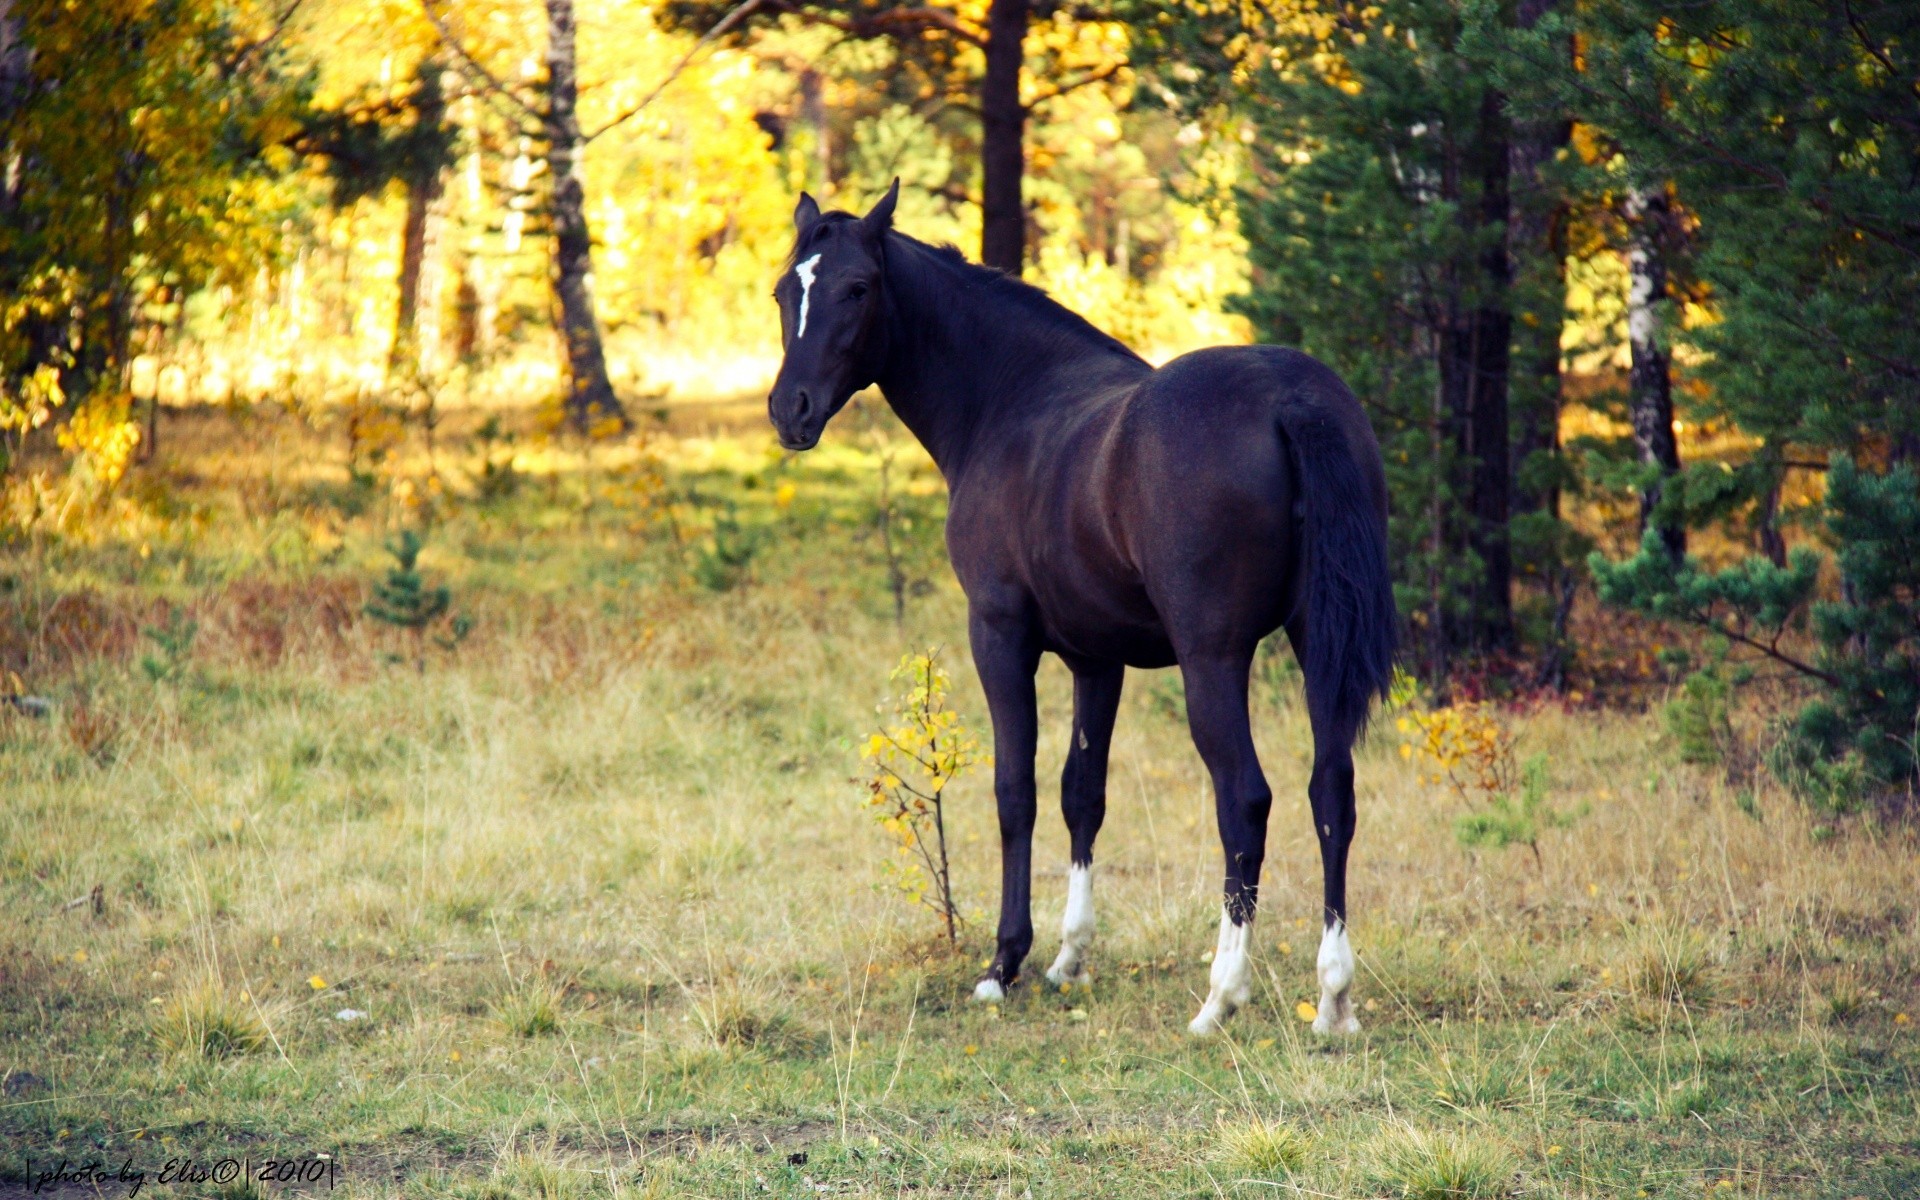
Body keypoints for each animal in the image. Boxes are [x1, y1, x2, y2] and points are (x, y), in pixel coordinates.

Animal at [764, 182, 1397, 1036]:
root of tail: (1292, 398)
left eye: (857, 288)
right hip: (1314, 644)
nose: (790, 410)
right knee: (1332, 790)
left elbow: (1016, 792)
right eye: (783, 292)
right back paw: (1333, 998)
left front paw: (1004, 963)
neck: (1010, 401)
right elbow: (1081, 794)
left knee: (1245, 800)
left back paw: (1220, 995)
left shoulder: (1000, 636)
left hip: (1214, 660)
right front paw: (1069, 958)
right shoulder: (1098, 659)